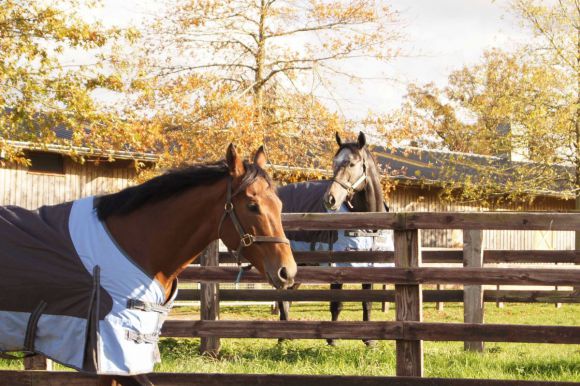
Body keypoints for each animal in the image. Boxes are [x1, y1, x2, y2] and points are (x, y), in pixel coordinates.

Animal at [276, 132, 390, 346]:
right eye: (334, 163)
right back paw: (282, 338)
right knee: (281, 297)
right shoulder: (337, 266)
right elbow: (337, 303)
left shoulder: (369, 265)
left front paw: (369, 340)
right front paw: (332, 339)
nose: (330, 199)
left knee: (287, 296)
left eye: (352, 163)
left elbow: (367, 301)